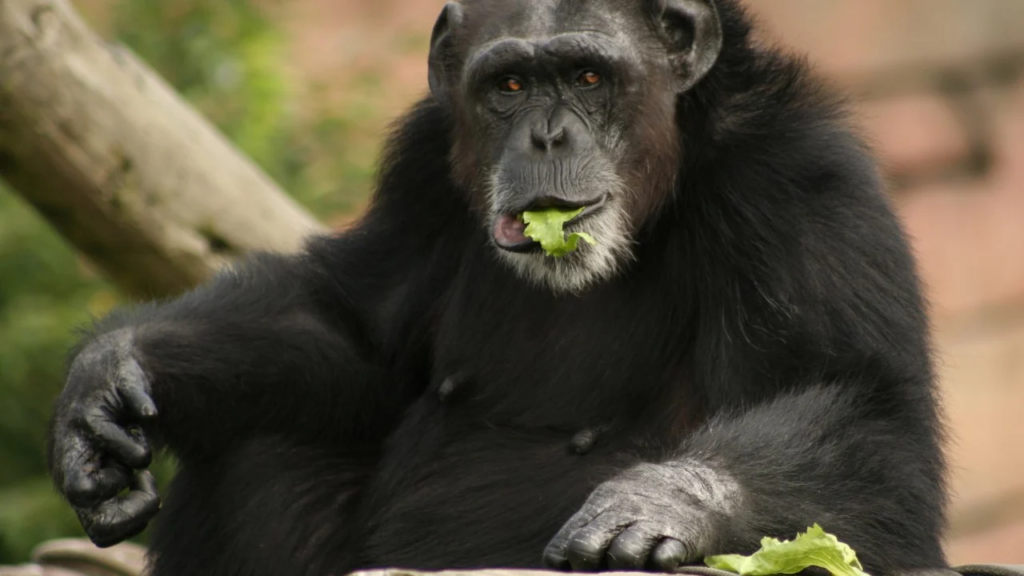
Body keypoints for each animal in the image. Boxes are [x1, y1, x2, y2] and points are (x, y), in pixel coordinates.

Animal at [46, 1, 942, 573]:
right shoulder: (421, 166)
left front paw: (668, 500)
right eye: (509, 86)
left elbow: (873, 419)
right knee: (260, 447)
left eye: (587, 76)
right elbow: (356, 334)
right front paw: (112, 375)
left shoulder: (802, 182)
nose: (546, 136)